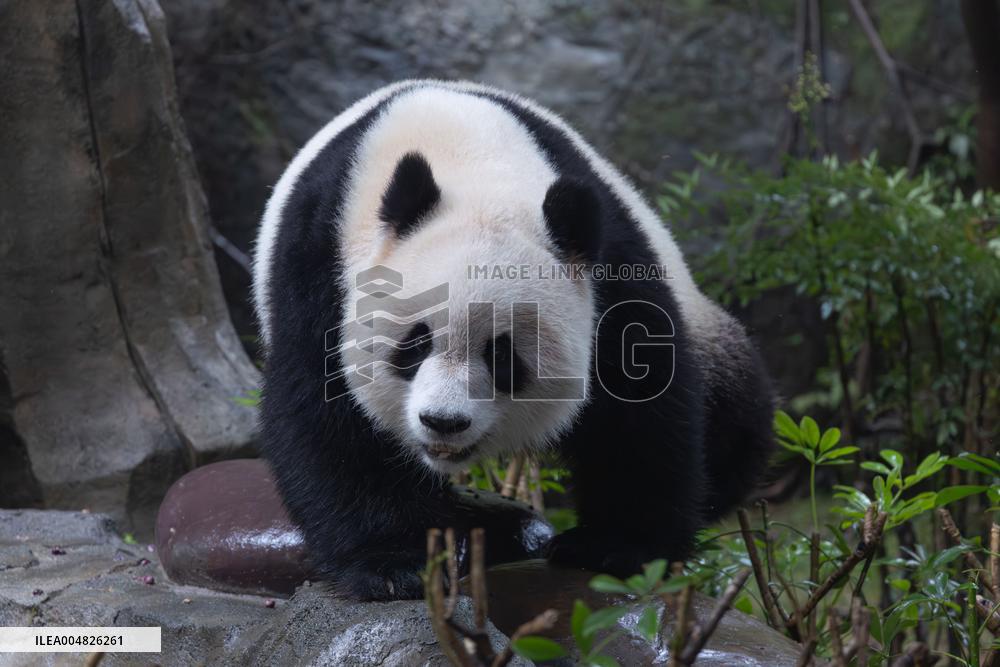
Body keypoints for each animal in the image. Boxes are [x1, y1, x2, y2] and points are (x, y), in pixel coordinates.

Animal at [252, 80, 774, 601]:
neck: (468, 160)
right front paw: (396, 565)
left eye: (501, 354)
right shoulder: (321, 262)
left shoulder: (611, 263)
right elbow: (326, 410)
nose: (444, 422)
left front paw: (613, 547)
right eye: (415, 344)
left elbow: (639, 394)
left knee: (733, 409)